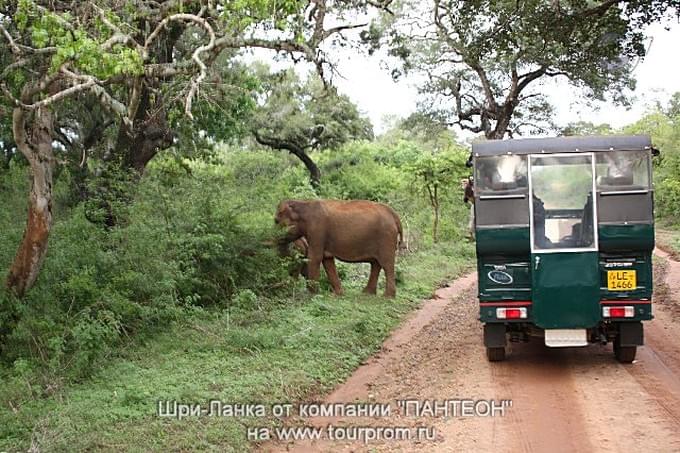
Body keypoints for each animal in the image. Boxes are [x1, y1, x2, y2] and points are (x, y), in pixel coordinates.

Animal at [274, 198, 404, 296]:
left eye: (276, 221)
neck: (304, 203)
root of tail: (395, 215)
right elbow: (327, 260)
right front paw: (337, 294)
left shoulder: (317, 229)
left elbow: (314, 257)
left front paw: (312, 295)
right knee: (376, 264)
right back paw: (367, 293)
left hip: (386, 238)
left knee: (386, 264)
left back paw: (387, 297)